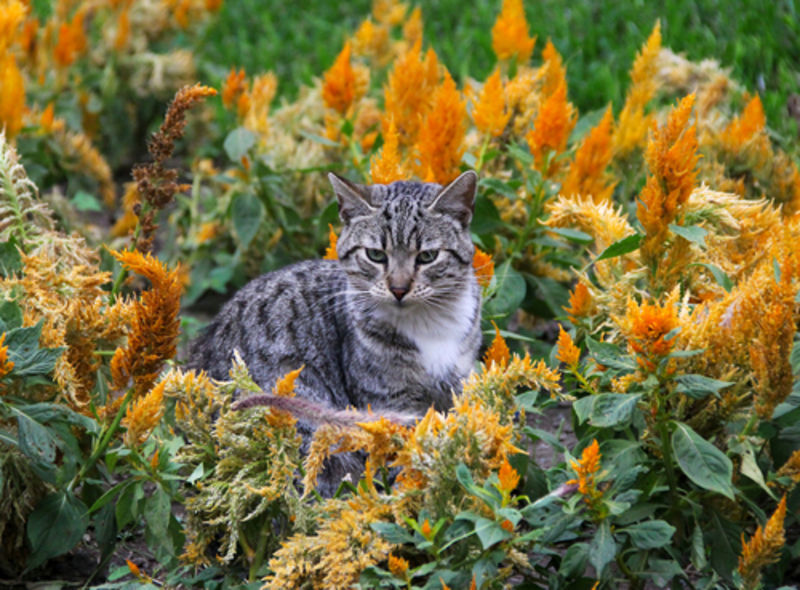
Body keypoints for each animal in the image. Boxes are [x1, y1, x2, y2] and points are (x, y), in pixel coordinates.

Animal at [191, 170, 482, 494]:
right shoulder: (387, 401)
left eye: (428, 256)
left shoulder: (458, 382)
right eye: (376, 255)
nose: (398, 288)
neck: (427, 324)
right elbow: (399, 453)